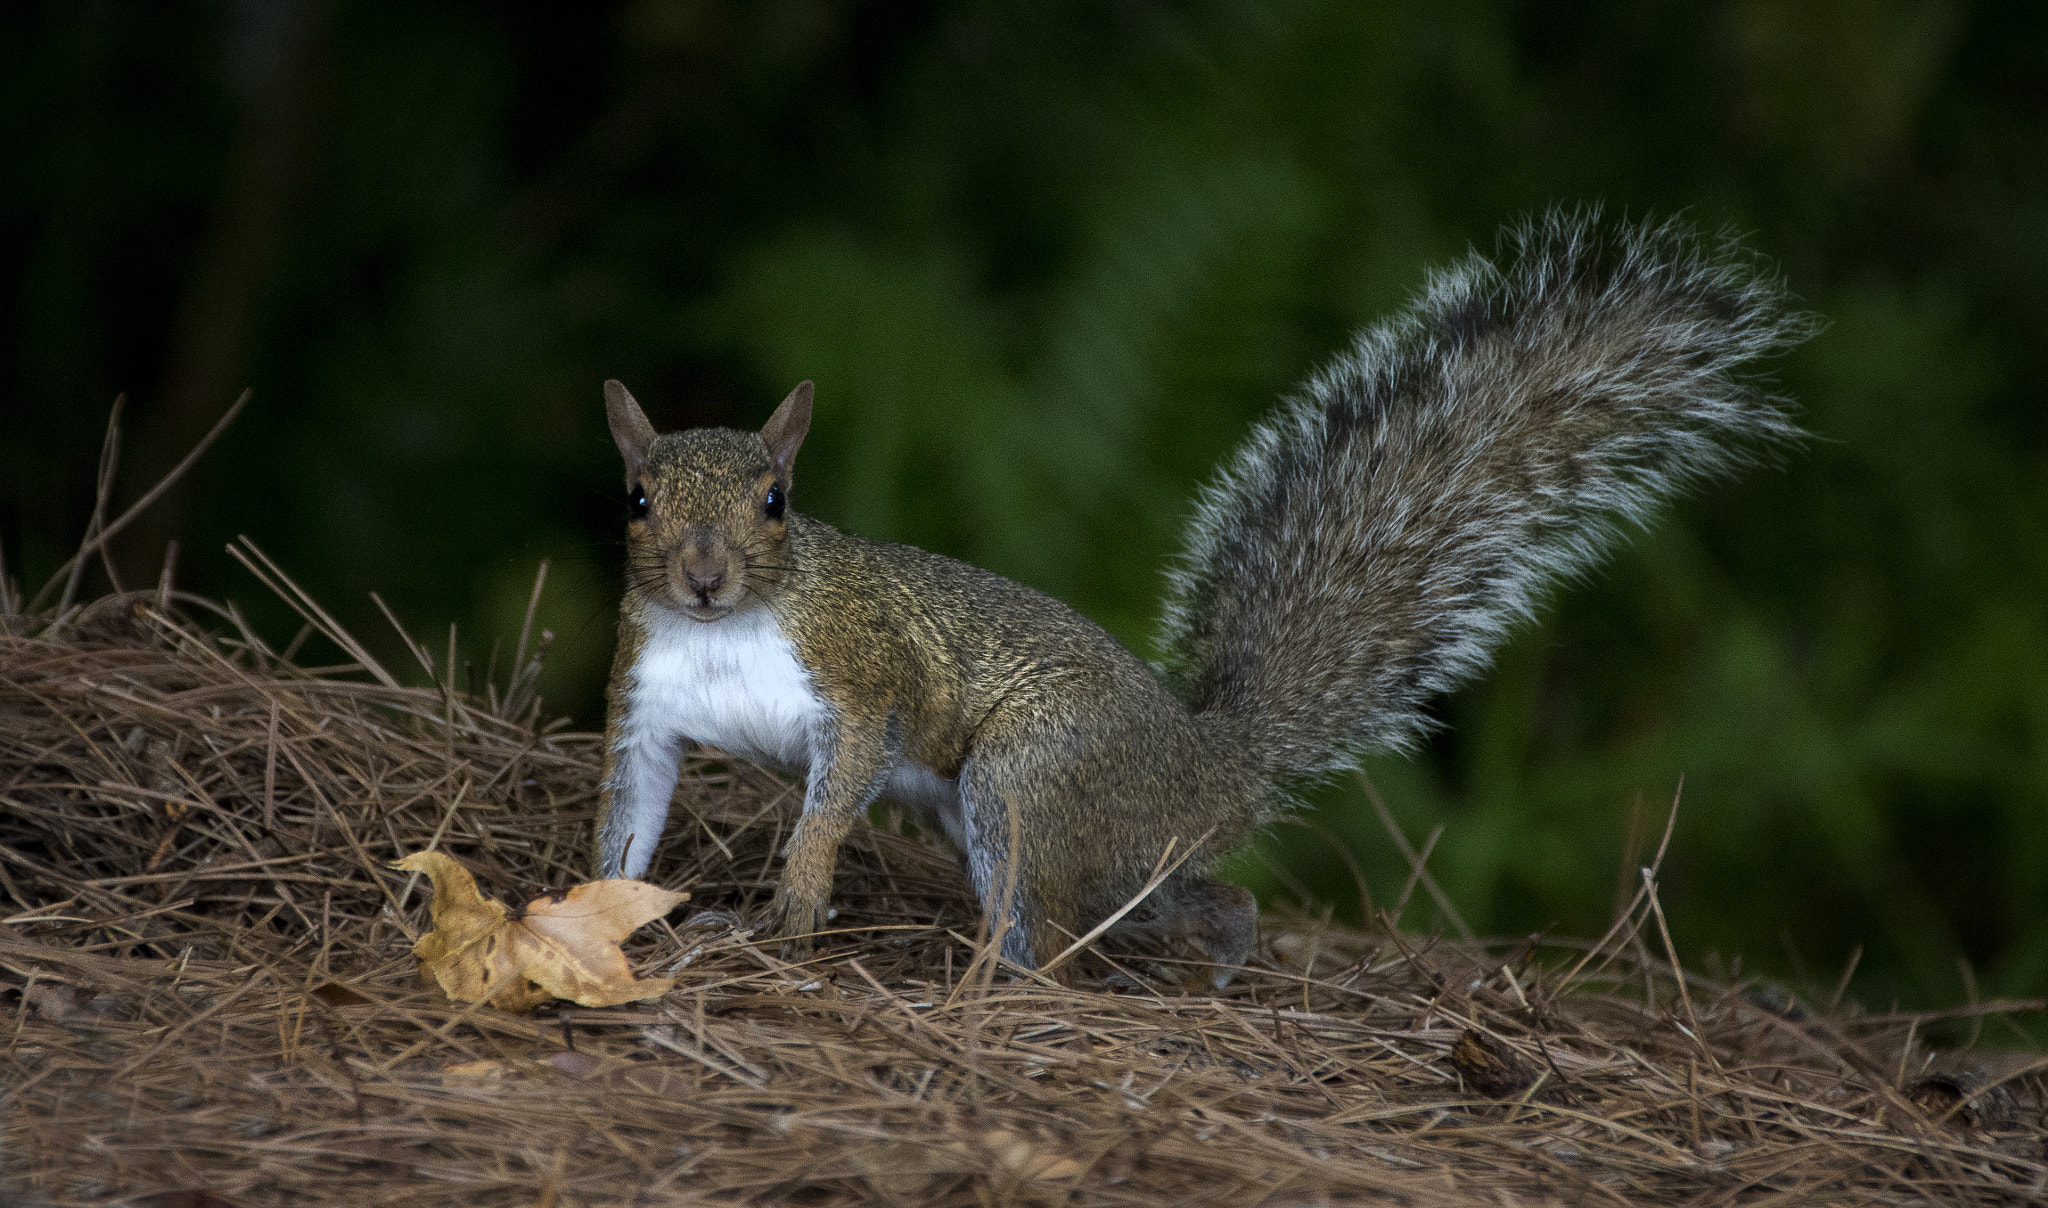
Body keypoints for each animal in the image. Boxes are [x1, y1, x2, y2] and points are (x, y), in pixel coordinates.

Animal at [593, 211, 1811, 986]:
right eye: (638, 498)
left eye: (777, 501)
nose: (703, 575)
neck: (726, 631)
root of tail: (1209, 763)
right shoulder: (644, 704)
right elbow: (630, 817)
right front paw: (593, 912)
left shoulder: (859, 674)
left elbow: (838, 781)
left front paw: (798, 896)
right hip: (1077, 833)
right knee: (1184, 897)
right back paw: (1222, 956)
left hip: (1029, 776)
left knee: (1049, 925)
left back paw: (995, 981)